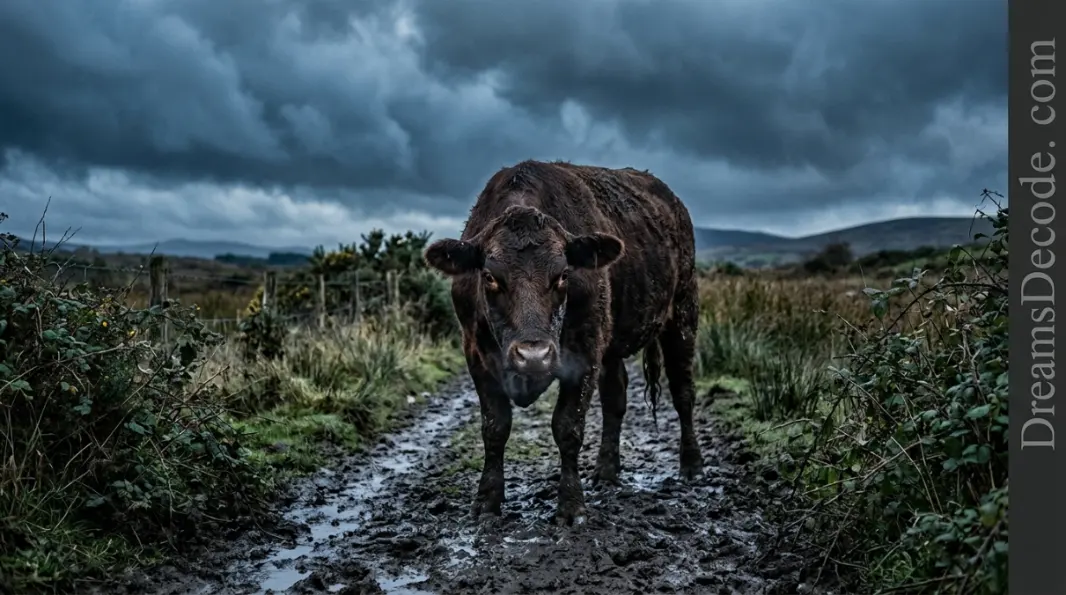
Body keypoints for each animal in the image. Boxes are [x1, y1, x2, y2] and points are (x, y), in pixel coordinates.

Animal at [423, 160, 705, 526]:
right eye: (489, 277)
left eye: (563, 275)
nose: (533, 355)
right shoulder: (476, 354)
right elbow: (495, 427)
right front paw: (487, 501)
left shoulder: (584, 354)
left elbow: (568, 426)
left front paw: (571, 505)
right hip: (613, 344)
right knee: (615, 399)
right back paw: (606, 472)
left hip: (682, 314)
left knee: (682, 392)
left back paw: (692, 465)